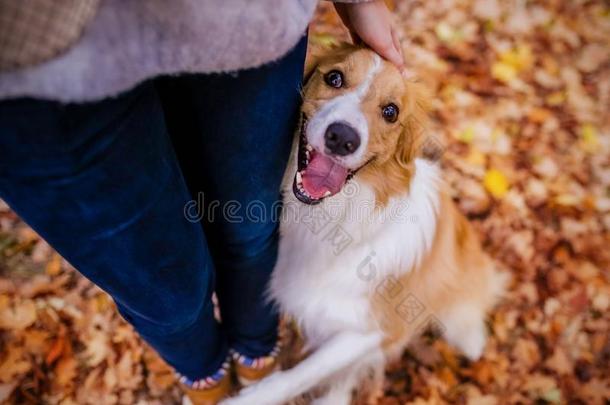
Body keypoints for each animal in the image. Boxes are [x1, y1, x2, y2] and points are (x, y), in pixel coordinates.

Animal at [221, 44, 506, 404]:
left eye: (391, 112)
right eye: (334, 78)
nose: (342, 138)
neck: (335, 215)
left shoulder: (376, 330)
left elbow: (300, 374)